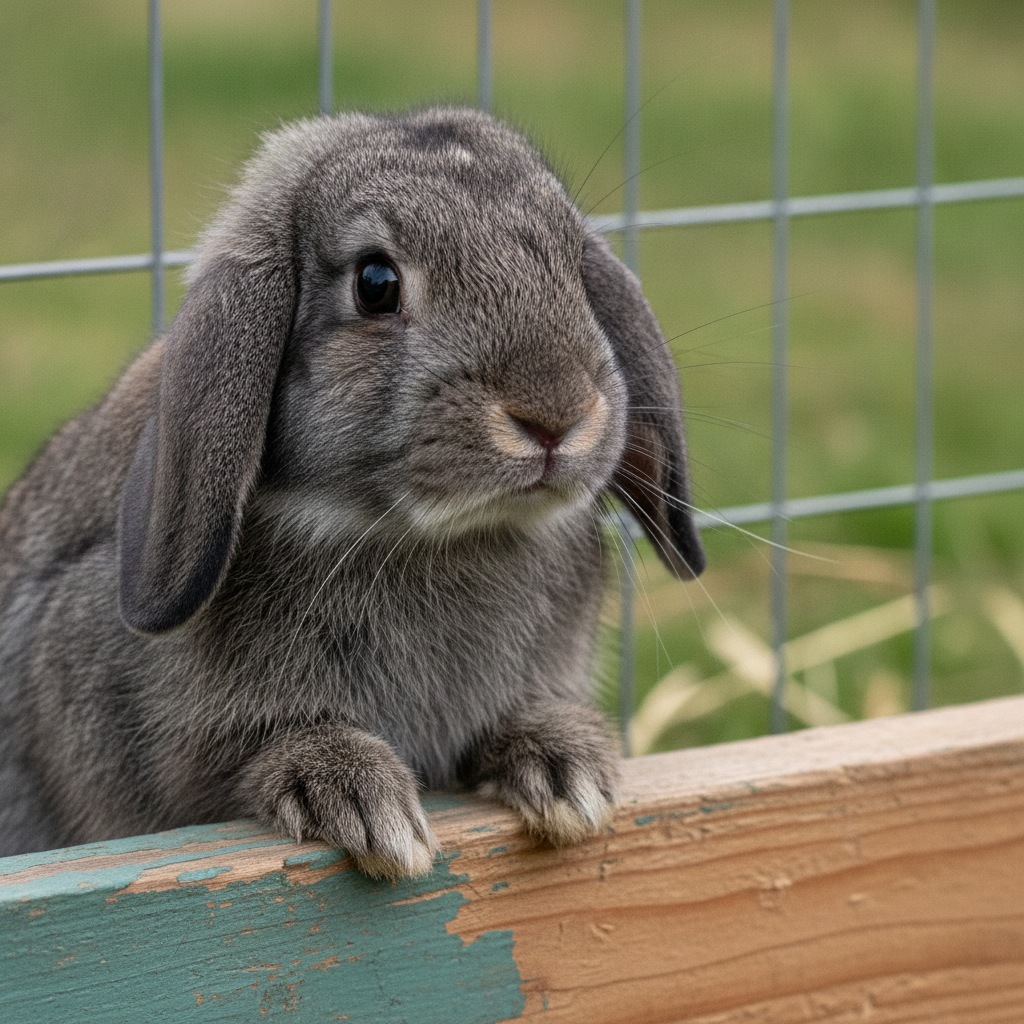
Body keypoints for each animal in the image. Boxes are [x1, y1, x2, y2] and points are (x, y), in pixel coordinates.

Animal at [0, 107, 704, 877]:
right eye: (375, 282)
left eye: (573, 265)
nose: (554, 414)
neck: (414, 534)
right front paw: (364, 802)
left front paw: (567, 772)